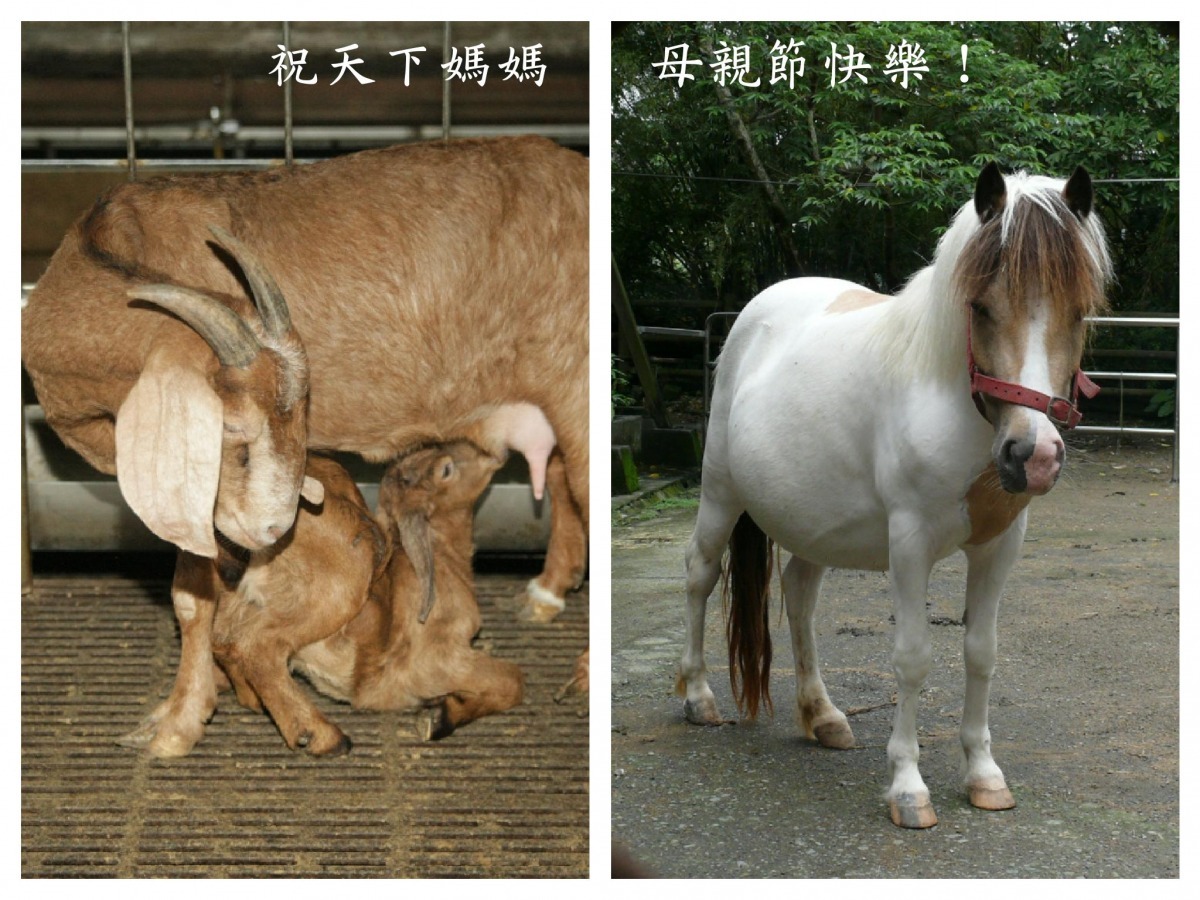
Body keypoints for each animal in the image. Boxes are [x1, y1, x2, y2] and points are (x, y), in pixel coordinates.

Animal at [676, 163, 1111, 829]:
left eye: (1080, 312)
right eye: (981, 307)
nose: (1032, 456)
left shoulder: (1000, 545)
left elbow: (980, 653)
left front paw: (984, 776)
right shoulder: (909, 544)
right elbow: (912, 657)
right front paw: (908, 788)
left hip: (813, 522)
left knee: (798, 595)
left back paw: (823, 716)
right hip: (721, 493)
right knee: (701, 573)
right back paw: (698, 697)